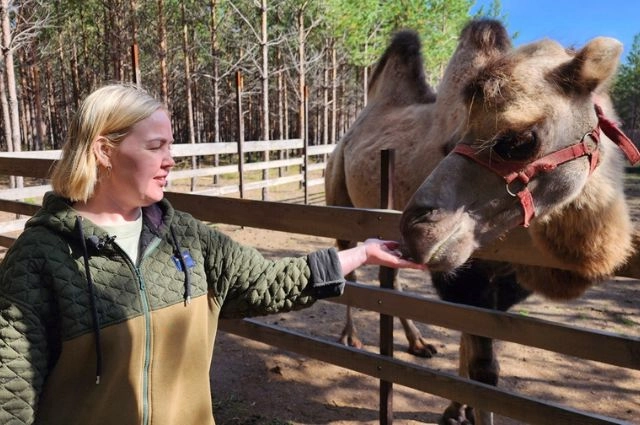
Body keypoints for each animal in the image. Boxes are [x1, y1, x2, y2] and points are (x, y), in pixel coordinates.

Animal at [328, 19, 636, 424]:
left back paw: (419, 343)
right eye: (451, 142)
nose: (417, 226)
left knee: (390, 282)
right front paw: (464, 410)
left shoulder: (503, 284)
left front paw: (456, 409)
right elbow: (484, 372)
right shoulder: (465, 274)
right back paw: (352, 338)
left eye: (519, 140)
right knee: (348, 267)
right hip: (340, 196)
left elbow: (469, 347)